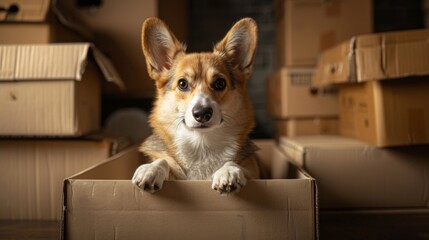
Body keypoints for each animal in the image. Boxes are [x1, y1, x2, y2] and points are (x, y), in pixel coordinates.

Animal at [131, 16, 258, 194]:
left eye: (220, 83)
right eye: (182, 84)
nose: (202, 113)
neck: (201, 144)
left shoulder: (256, 172)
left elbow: (235, 163)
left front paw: (228, 171)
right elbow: (164, 161)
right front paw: (151, 169)